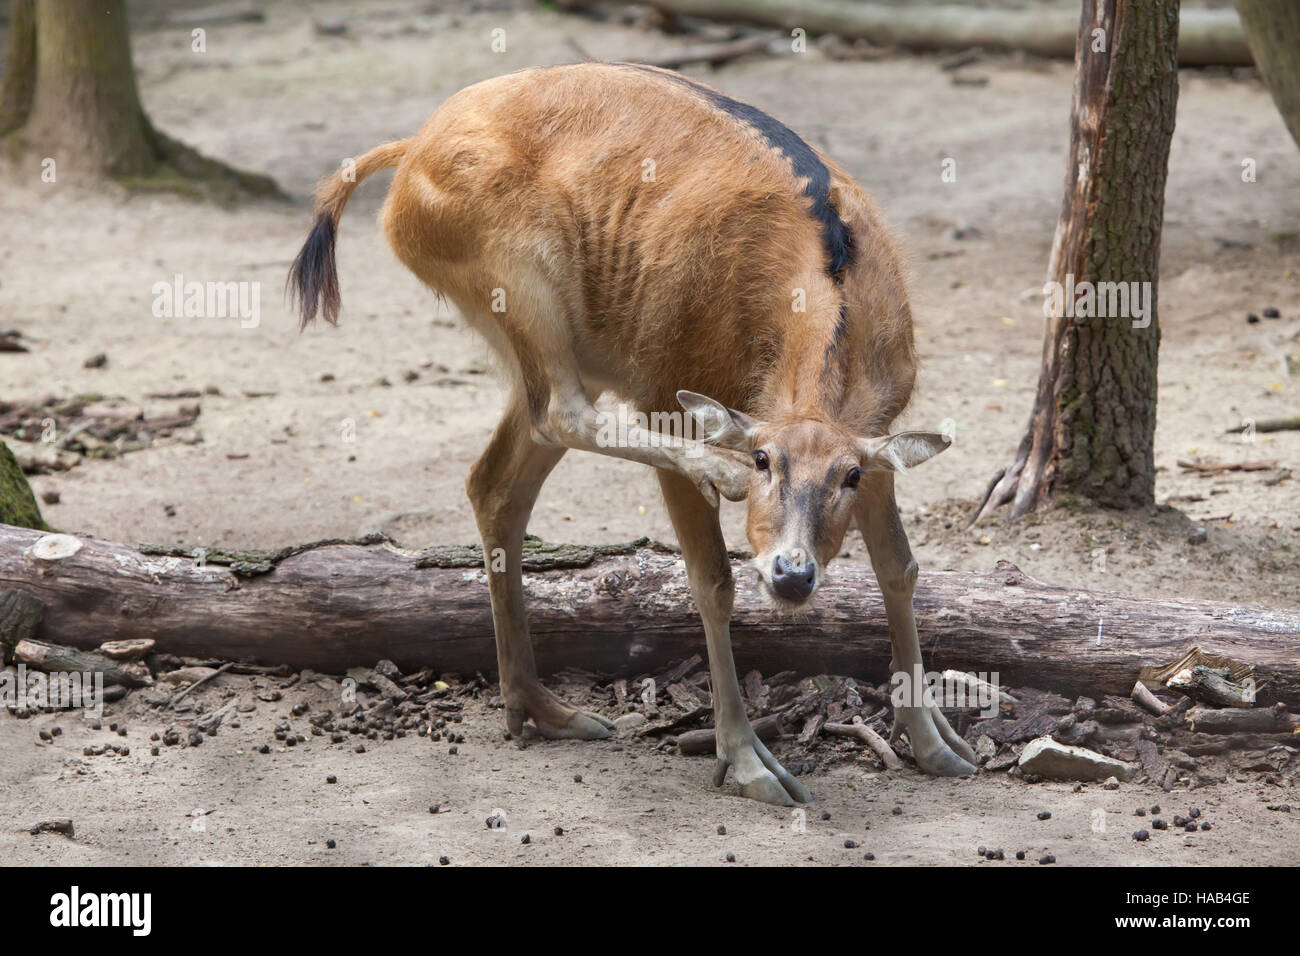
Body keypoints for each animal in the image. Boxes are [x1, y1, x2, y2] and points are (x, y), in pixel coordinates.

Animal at [290, 62, 976, 806]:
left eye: (847, 476)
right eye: (765, 459)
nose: (792, 574)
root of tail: (411, 149)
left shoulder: (879, 437)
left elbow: (900, 568)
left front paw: (939, 745)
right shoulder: (662, 395)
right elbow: (712, 583)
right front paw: (749, 765)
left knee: (494, 481)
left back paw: (542, 709)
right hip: (520, 284)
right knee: (559, 415)